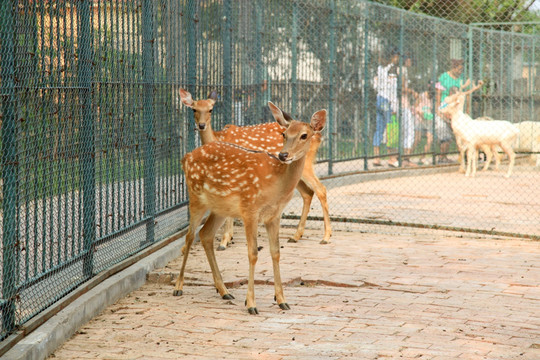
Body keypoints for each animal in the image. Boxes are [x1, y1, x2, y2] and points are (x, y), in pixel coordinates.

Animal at [177, 102, 326, 314]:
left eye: (304, 135)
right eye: (284, 134)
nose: (283, 155)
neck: (276, 184)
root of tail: (186, 157)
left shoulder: (274, 215)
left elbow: (276, 252)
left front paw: (282, 300)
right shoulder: (250, 209)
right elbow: (253, 253)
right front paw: (251, 304)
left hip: (219, 208)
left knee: (205, 234)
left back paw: (224, 291)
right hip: (195, 196)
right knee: (190, 236)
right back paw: (179, 287)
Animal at [179, 89, 332, 250]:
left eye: (210, 109)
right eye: (194, 109)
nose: (201, 125)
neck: (217, 138)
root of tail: (318, 136)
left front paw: (224, 241)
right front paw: (228, 237)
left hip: (306, 165)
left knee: (320, 189)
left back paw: (326, 237)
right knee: (307, 192)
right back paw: (296, 236)